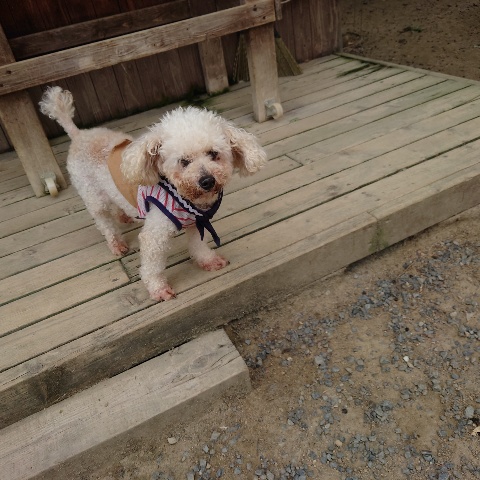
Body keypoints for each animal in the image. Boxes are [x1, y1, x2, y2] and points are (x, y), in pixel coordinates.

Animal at [39, 87, 267, 301]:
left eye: (213, 153)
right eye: (183, 161)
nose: (207, 181)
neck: (187, 198)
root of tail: (79, 134)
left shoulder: (197, 223)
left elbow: (198, 246)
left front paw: (209, 261)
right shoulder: (154, 236)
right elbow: (152, 266)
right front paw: (158, 290)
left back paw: (124, 217)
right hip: (93, 195)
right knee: (104, 221)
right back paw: (116, 244)